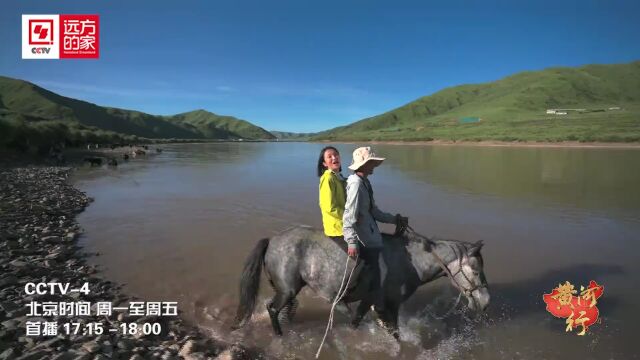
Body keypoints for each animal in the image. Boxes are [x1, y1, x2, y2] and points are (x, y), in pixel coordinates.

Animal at [235, 225, 490, 338]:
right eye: (476, 270)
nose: (485, 301)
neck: (410, 262)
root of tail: (272, 240)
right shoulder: (388, 304)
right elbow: (393, 333)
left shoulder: (372, 302)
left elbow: (358, 321)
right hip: (287, 289)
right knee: (272, 309)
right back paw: (279, 335)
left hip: (289, 289)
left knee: (284, 308)